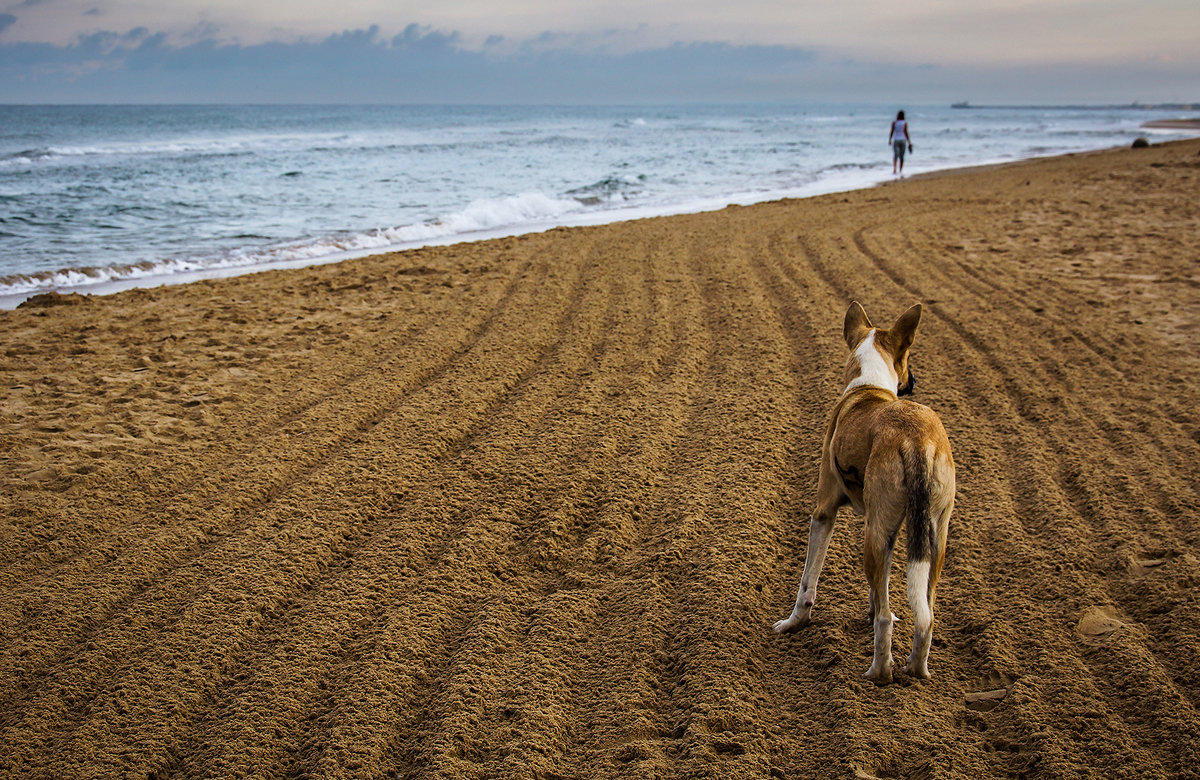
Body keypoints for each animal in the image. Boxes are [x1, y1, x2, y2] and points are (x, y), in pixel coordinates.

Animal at [777, 298, 955, 681]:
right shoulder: (886, 527)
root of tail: (916, 437)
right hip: (931, 536)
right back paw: (915, 669)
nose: (913, 381)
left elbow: (807, 582)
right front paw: (870, 611)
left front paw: (793, 623)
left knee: (888, 620)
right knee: (927, 616)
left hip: (874, 536)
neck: (868, 385)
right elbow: (878, 591)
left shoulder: (824, 512)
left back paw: (879, 673)